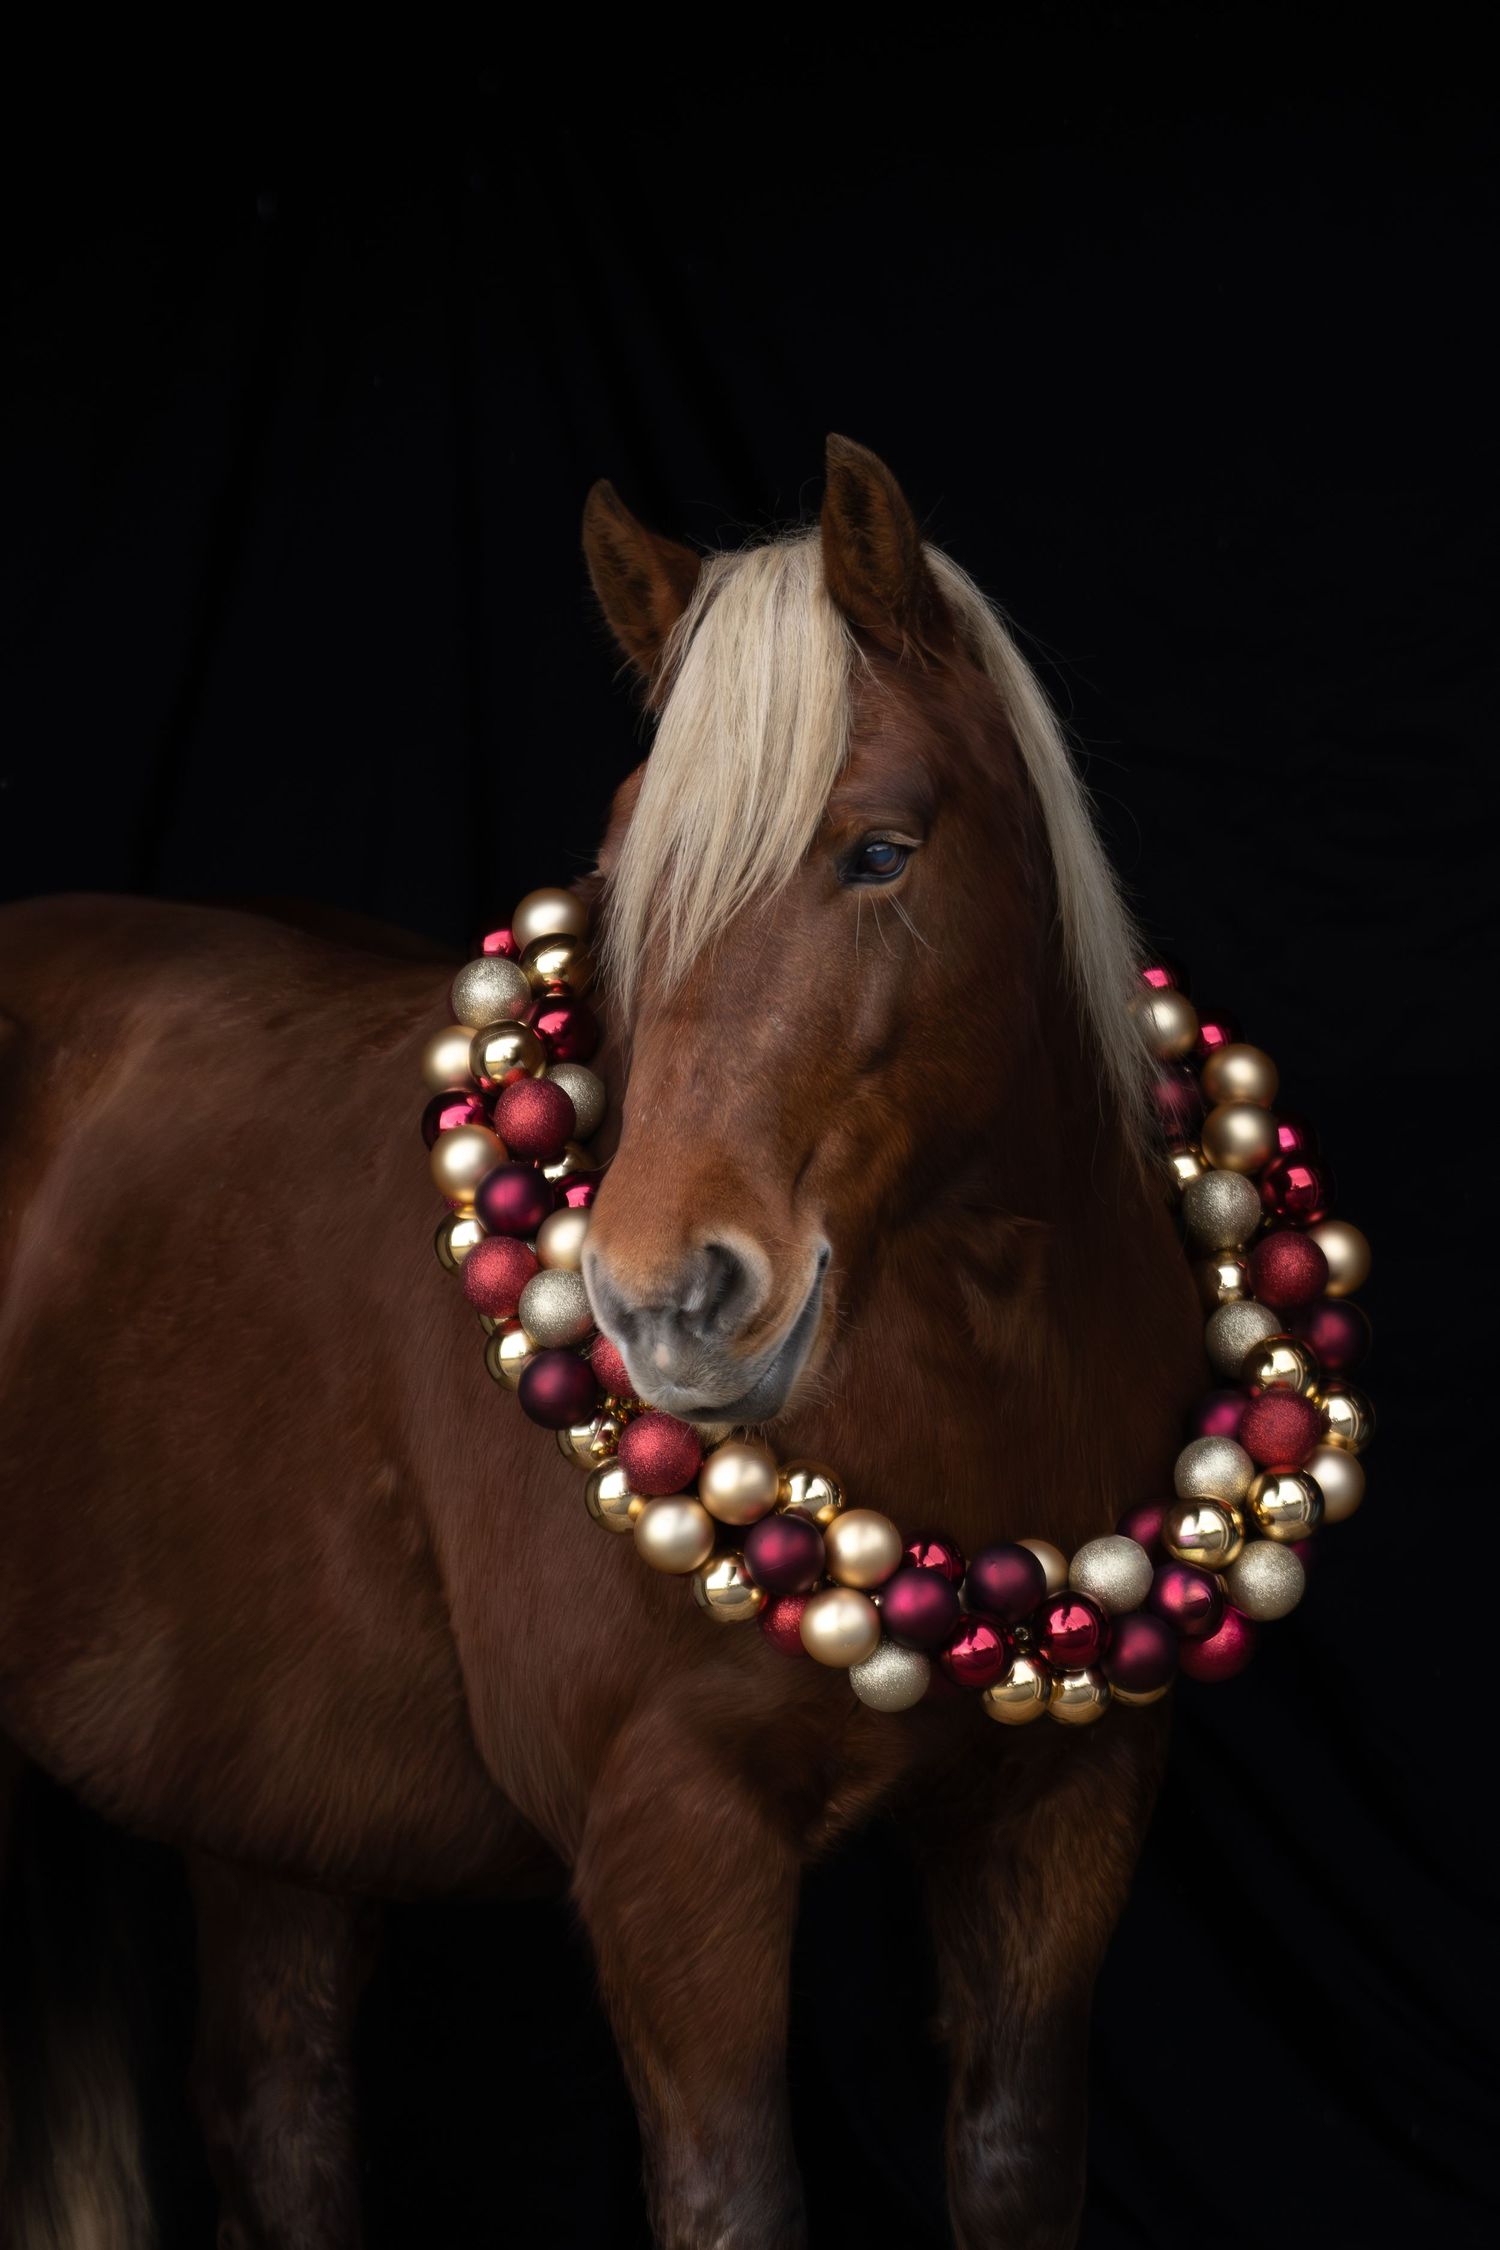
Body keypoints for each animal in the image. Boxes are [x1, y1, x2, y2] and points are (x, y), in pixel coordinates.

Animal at [0, 434, 1203, 2248]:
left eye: (881, 851)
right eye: (631, 863)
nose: (659, 1296)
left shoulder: (1059, 1826)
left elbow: (1010, 2167)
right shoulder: (674, 1846)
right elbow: (732, 2197)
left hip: (266, 1803)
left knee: (276, 2108)